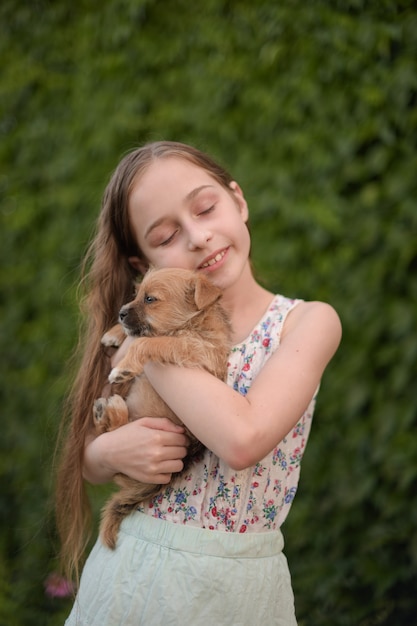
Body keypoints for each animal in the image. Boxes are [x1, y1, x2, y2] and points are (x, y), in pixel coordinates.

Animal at [92, 266, 232, 548]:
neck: (192, 323)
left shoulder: (197, 348)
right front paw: (114, 333)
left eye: (150, 299)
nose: (120, 313)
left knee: (115, 429)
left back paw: (112, 409)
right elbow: (139, 334)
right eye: (136, 294)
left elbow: (149, 342)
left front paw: (123, 366)